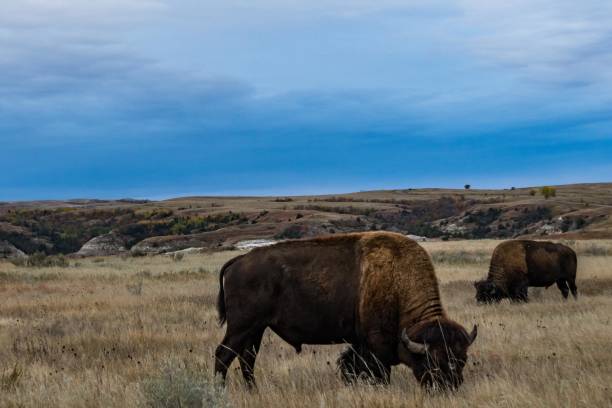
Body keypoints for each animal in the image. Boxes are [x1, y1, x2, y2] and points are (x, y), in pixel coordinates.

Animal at [215, 233, 478, 388]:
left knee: (247, 358)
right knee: (223, 355)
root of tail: (238, 261)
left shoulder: (360, 344)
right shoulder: (376, 346)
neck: (397, 281)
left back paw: (253, 390)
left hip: (256, 329)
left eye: (462, 360)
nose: (449, 388)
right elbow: (379, 374)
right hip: (241, 327)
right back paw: (220, 390)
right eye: (433, 361)